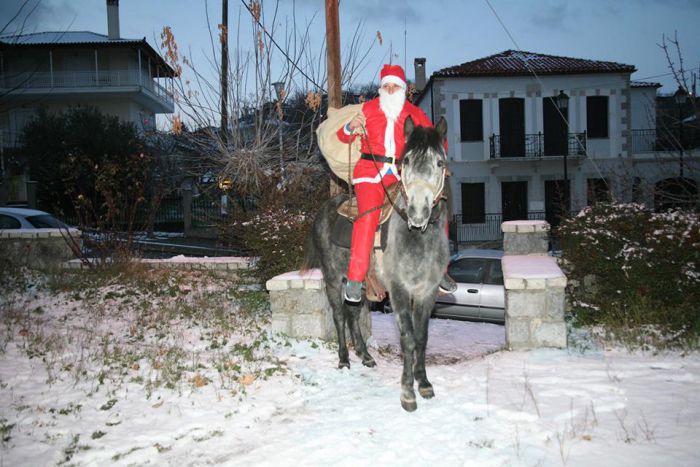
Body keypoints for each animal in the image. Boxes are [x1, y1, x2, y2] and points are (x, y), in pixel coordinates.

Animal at [304, 117, 452, 414]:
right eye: (406, 160)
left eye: (439, 162)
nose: (418, 212)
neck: (417, 237)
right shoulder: (399, 291)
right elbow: (407, 337)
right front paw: (407, 392)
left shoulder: (426, 292)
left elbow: (421, 338)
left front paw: (424, 383)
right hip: (333, 279)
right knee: (340, 316)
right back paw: (344, 359)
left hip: (359, 284)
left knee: (352, 313)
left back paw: (365, 355)